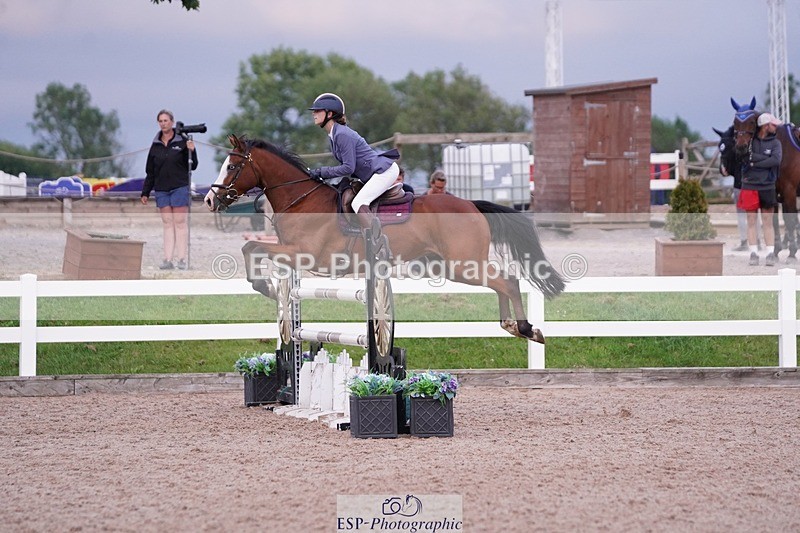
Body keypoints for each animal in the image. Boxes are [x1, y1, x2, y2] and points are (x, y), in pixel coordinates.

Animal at [204, 134, 566, 344]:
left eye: (232, 166)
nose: (209, 199)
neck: (301, 200)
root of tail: (471, 204)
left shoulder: (305, 254)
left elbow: (252, 246)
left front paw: (263, 286)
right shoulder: (291, 252)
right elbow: (250, 247)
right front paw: (265, 286)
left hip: (462, 264)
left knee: (507, 280)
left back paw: (525, 328)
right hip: (449, 266)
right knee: (502, 281)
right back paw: (512, 326)